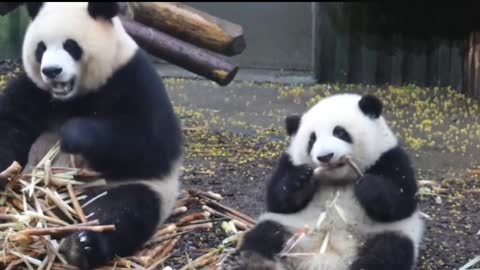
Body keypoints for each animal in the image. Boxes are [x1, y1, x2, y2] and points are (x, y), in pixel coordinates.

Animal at [0, 2, 184, 270]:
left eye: (71, 45)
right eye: (41, 48)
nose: (52, 71)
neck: (72, 97)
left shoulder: (134, 80)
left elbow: (149, 141)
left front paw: (73, 134)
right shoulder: (34, 90)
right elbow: (11, 122)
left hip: (135, 188)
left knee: (120, 211)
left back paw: (83, 245)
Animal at [221, 93, 424, 270]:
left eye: (340, 132)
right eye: (312, 139)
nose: (325, 156)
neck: (338, 179)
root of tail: (322, 262)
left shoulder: (391, 158)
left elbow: (403, 201)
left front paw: (368, 186)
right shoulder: (289, 162)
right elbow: (277, 200)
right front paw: (301, 178)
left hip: (381, 235)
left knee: (388, 251)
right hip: (291, 230)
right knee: (264, 235)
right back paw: (251, 262)